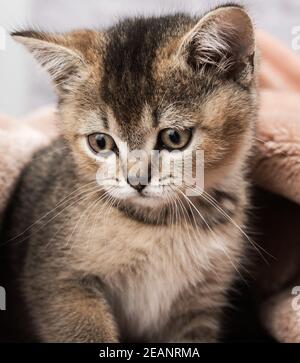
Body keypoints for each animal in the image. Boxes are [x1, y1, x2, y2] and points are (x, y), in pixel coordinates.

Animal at [5, 4, 256, 342]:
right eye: (100, 142)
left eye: (174, 137)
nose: (136, 181)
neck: (166, 223)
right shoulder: (57, 280)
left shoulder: (200, 305)